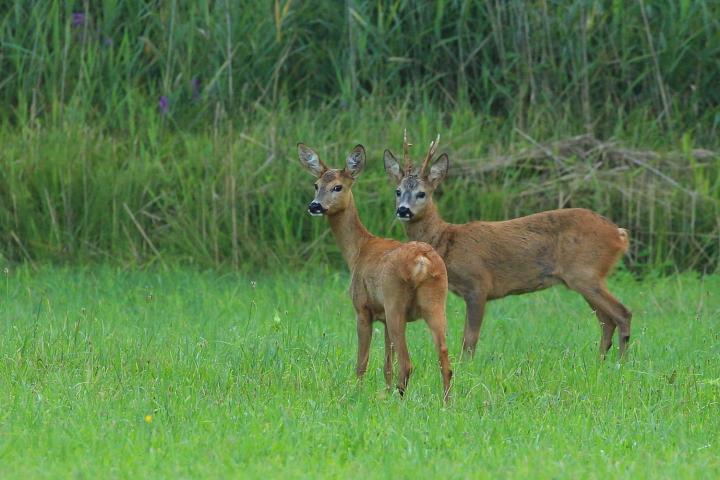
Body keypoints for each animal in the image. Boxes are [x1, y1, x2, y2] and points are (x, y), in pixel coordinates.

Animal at [296, 144, 452, 400]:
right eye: (316, 185)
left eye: (337, 186)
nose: (314, 206)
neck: (358, 250)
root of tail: (422, 260)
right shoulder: (383, 318)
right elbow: (387, 364)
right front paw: (385, 393)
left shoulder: (363, 308)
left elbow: (362, 362)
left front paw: (357, 394)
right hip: (436, 303)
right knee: (444, 360)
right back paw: (446, 402)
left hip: (395, 302)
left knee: (407, 363)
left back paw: (400, 401)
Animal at [382, 131, 632, 360]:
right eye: (397, 191)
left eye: (422, 193)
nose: (403, 210)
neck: (447, 242)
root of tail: (619, 234)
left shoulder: (478, 284)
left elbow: (469, 340)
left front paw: (465, 367)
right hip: (585, 277)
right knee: (606, 320)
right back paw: (601, 360)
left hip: (585, 272)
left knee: (622, 313)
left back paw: (620, 362)